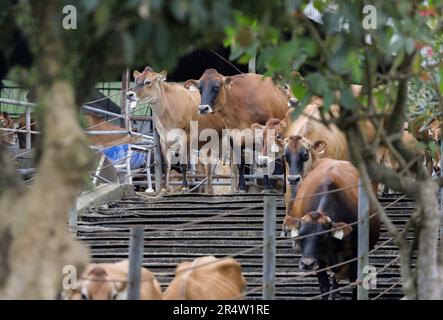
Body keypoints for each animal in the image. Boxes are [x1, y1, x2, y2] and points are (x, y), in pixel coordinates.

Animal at [127, 66, 225, 194]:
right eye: (136, 80)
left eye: (148, 82)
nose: (129, 94)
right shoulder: (164, 139)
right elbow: (166, 165)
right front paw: (164, 188)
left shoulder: (185, 136)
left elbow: (183, 164)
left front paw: (184, 186)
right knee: (209, 164)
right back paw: (209, 190)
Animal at [282, 159, 380, 302]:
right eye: (300, 236)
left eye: (323, 237)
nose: (307, 264)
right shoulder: (319, 260)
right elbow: (324, 287)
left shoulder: (356, 256)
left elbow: (355, 284)